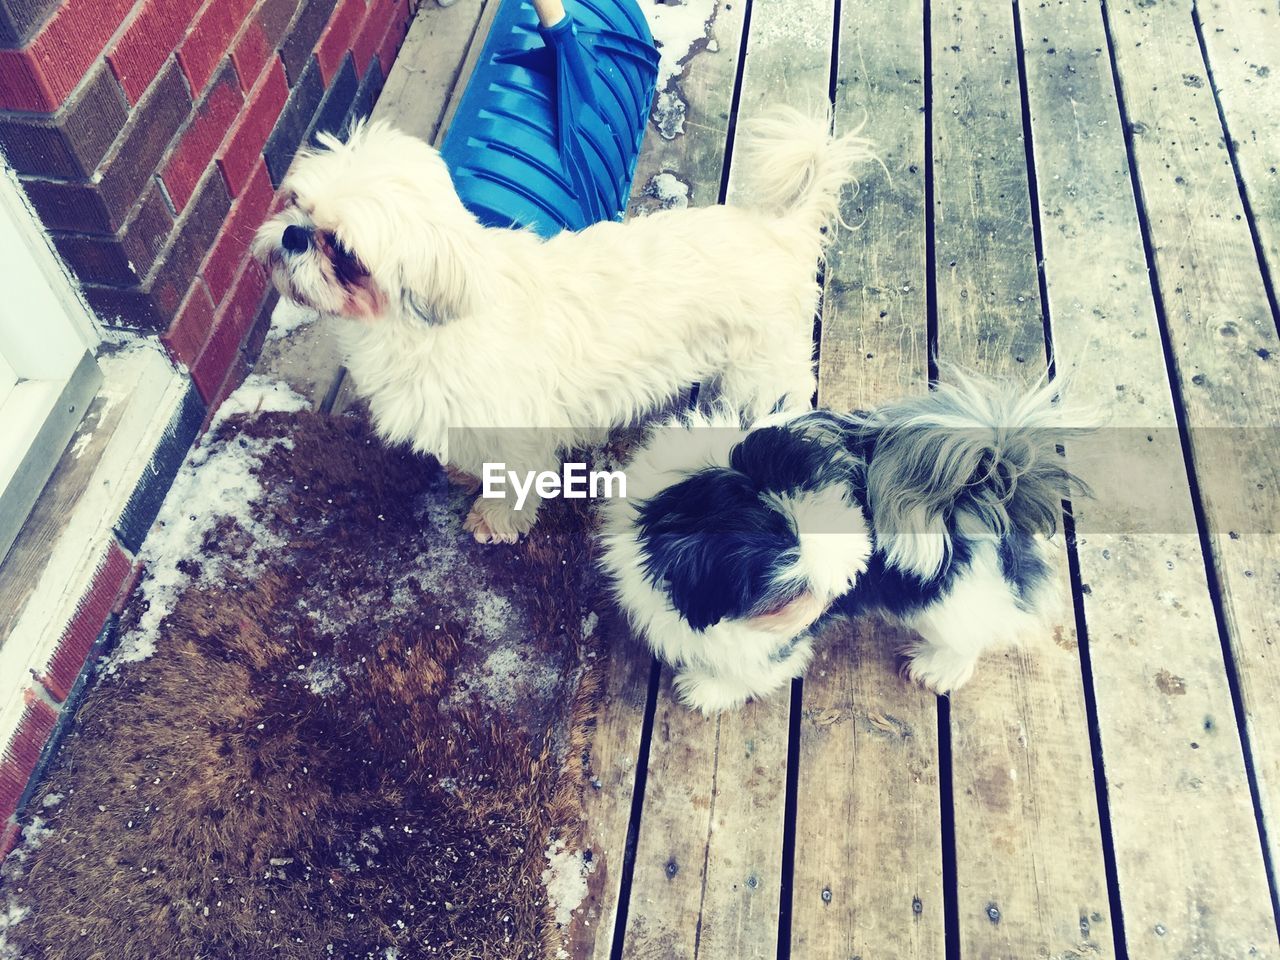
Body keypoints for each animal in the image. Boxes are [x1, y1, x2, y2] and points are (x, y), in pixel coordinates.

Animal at [254, 110, 875, 545]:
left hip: (763, 365)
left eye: (343, 250)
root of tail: (782, 232)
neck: (412, 327)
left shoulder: (515, 433)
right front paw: (464, 474)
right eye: (294, 202)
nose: (293, 235)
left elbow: (513, 480)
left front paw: (496, 519)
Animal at [599, 373, 1090, 716]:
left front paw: (709, 689)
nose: (827, 600)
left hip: (954, 601)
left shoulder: (767, 640)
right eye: (791, 592)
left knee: (971, 633)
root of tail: (989, 484)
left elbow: (754, 666)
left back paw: (938, 666)